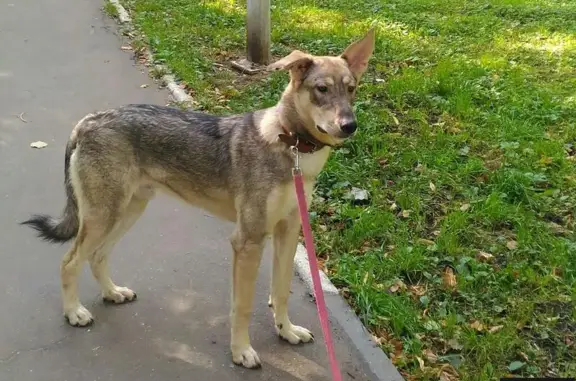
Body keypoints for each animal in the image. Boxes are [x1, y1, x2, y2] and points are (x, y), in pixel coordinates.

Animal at [22, 29, 376, 368]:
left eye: (352, 88)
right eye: (322, 89)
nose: (350, 126)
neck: (292, 148)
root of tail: (88, 120)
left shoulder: (288, 233)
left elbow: (281, 291)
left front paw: (286, 331)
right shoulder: (247, 241)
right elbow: (242, 306)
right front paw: (241, 352)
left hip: (126, 212)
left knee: (97, 257)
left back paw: (112, 293)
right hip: (104, 217)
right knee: (69, 262)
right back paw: (74, 312)